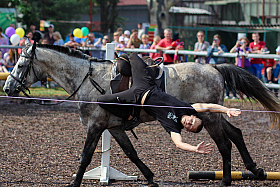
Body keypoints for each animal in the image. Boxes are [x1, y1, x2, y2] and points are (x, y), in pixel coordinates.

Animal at [3, 43, 280, 186]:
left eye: (20, 64)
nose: (7, 88)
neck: (88, 79)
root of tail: (213, 68)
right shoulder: (113, 127)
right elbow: (131, 153)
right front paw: (150, 178)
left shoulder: (95, 125)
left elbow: (85, 156)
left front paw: (74, 183)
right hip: (212, 114)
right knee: (236, 133)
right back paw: (254, 170)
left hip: (210, 118)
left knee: (224, 144)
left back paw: (226, 180)